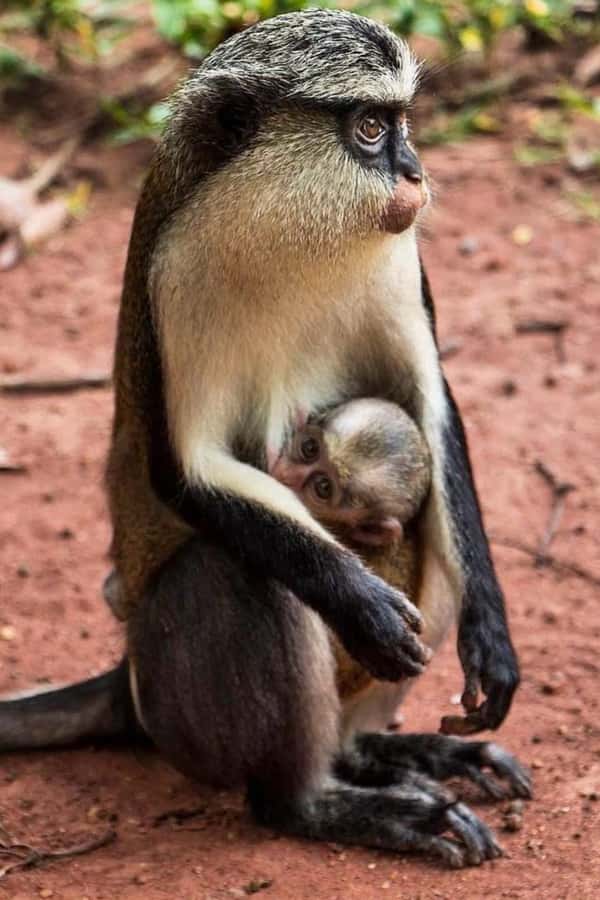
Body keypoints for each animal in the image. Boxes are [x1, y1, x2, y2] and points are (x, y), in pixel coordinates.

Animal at [0, 11, 531, 867]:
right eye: (370, 128)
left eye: (402, 124)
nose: (415, 172)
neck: (282, 224)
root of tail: (127, 679)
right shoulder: (176, 275)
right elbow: (192, 469)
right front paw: (362, 604)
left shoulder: (399, 258)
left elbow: (432, 410)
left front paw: (492, 637)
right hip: (177, 697)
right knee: (233, 570)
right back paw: (317, 800)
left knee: (428, 527)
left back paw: (380, 753)